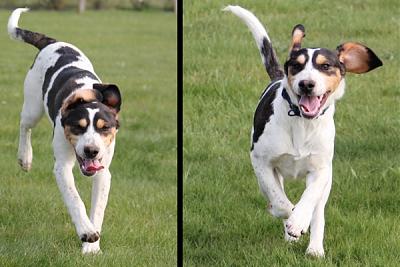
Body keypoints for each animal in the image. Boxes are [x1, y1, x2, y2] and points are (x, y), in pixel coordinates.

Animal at [7, 8, 120, 255]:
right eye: (78, 127)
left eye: (104, 128)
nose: (91, 151)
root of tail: (53, 42)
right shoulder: (62, 166)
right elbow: (75, 199)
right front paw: (86, 232)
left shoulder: (103, 172)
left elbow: (98, 209)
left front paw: (92, 247)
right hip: (33, 107)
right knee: (24, 125)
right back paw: (25, 158)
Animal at [223, 5, 382, 258]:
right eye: (296, 65)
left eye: (325, 66)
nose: (306, 84)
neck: (302, 123)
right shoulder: (261, 161)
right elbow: (280, 202)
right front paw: (289, 217)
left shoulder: (322, 170)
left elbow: (310, 201)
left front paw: (299, 222)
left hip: (326, 181)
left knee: (318, 210)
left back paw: (314, 247)